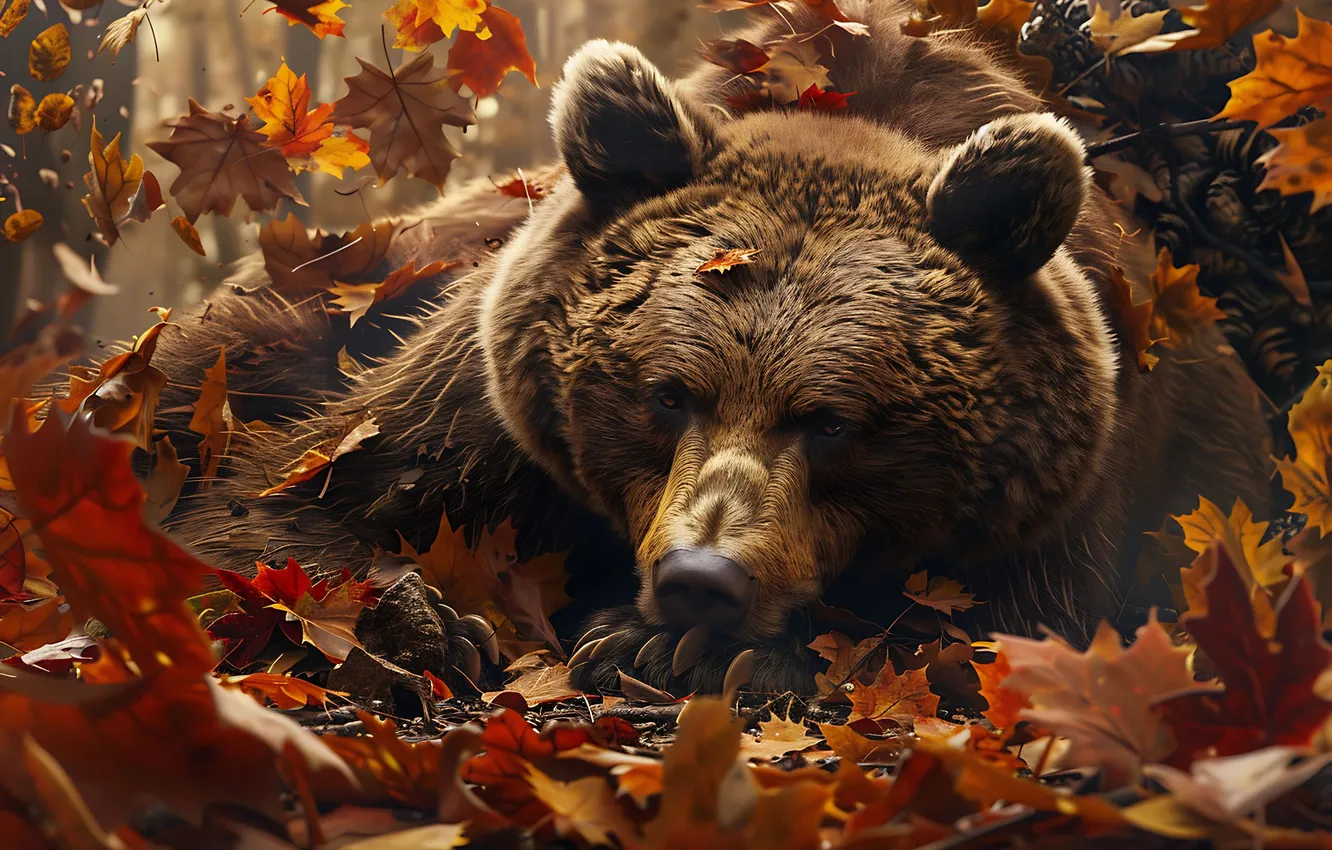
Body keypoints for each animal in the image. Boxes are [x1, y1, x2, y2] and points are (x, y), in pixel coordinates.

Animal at [136, 0, 1270, 695]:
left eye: (835, 422)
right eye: (665, 392)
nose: (701, 578)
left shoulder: (1080, 487)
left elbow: (1010, 630)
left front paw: (676, 644)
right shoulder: (483, 399)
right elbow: (292, 496)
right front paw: (420, 620)